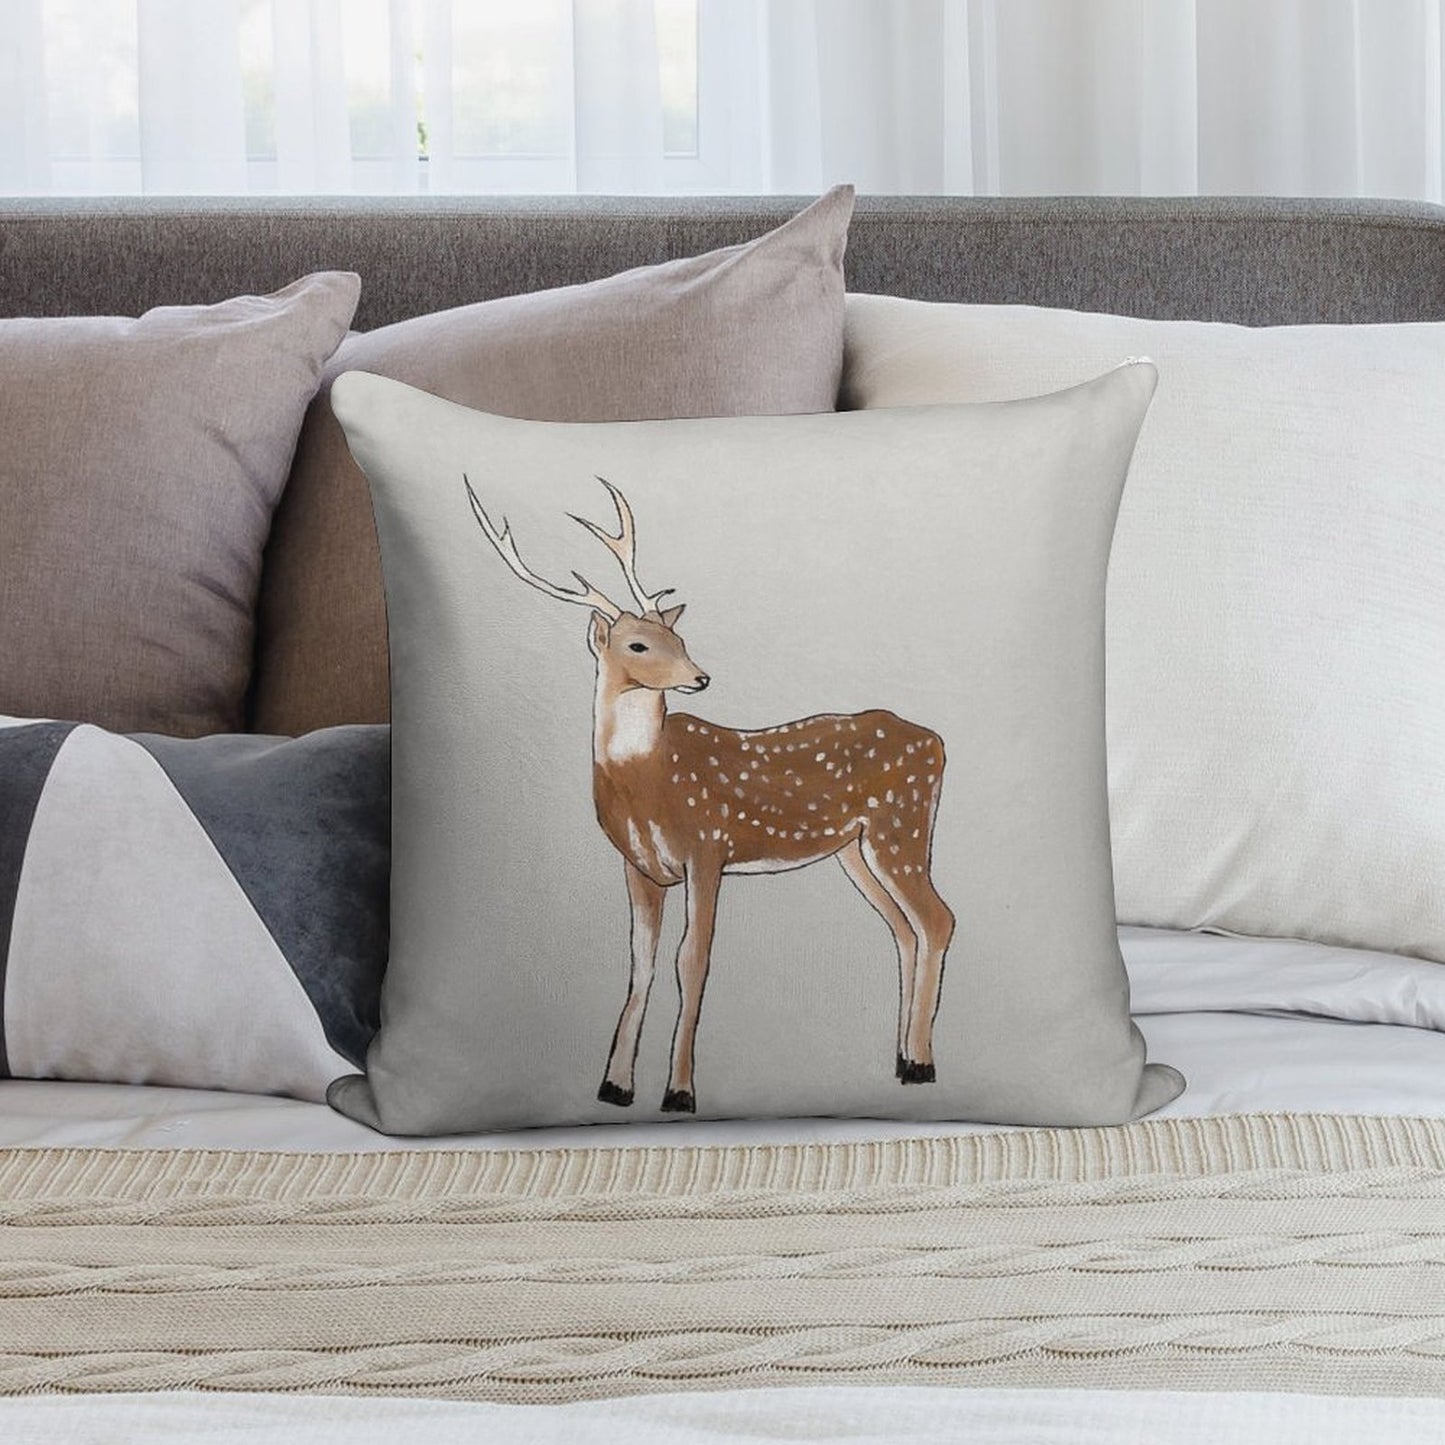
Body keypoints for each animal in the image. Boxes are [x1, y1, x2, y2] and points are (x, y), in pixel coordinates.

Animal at [466, 475, 955, 1115]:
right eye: (639, 645)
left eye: (678, 635)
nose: (700, 677)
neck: (650, 780)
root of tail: (937, 742)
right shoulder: (638, 866)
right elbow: (641, 963)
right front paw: (615, 1085)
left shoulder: (707, 845)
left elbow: (691, 959)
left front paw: (679, 1091)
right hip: (854, 848)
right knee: (903, 928)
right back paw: (900, 1060)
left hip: (902, 825)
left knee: (938, 920)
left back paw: (921, 1062)